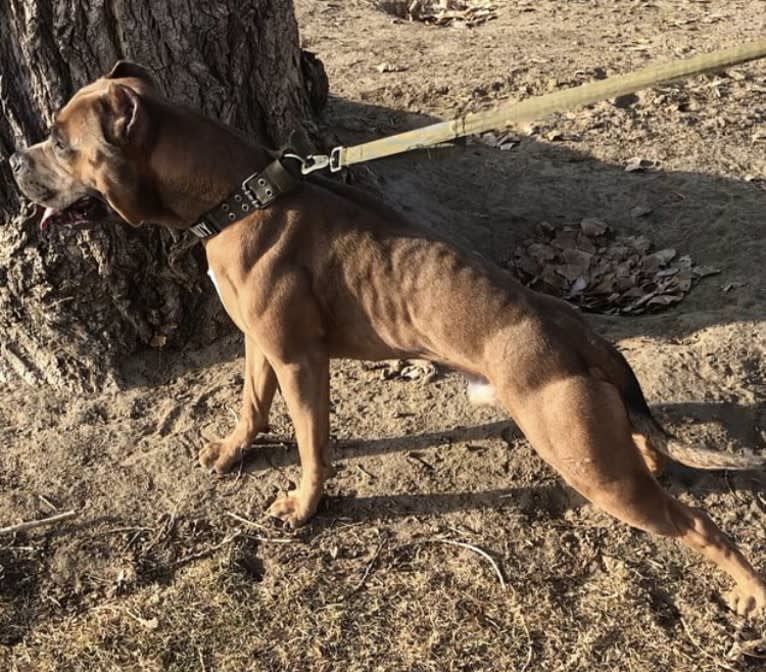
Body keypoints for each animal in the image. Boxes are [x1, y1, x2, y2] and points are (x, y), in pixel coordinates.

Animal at [10, 60, 766, 616]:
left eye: (62, 141)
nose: (15, 160)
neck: (239, 195)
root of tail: (577, 332)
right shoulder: (259, 345)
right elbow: (250, 404)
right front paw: (231, 451)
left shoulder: (299, 361)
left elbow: (313, 444)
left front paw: (303, 506)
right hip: (597, 443)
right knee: (645, 447)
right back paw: (658, 457)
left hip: (587, 465)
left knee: (701, 526)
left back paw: (748, 591)